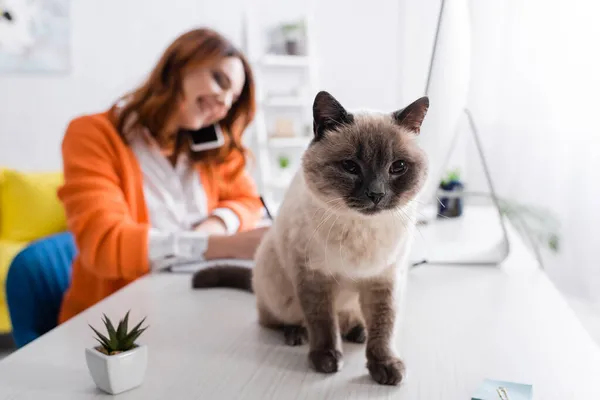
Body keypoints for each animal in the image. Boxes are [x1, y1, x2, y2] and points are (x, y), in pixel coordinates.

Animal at [192, 90, 432, 384]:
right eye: (350, 166)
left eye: (398, 167)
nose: (376, 194)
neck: (361, 229)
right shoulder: (314, 277)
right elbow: (323, 323)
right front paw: (326, 359)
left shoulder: (383, 281)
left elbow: (383, 328)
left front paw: (384, 366)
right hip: (275, 281)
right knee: (276, 319)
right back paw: (297, 333)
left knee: (352, 320)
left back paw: (358, 331)